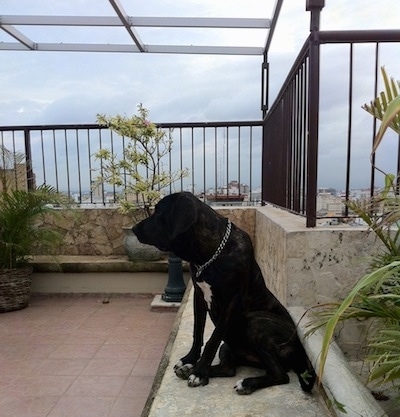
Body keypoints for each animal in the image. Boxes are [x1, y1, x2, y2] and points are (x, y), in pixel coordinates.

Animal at [134, 192, 316, 394]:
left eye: (159, 212)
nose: (134, 229)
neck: (209, 255)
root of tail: (300, 352)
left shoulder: (232, 302)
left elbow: (213, 338)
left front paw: (199, 372)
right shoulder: (199, 296)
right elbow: (198, 332)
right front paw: (190, 360)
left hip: (255, 322)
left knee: (280, 374)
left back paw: (245, 383)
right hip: (228, 346)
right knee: (229, 369)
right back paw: (193, 370)